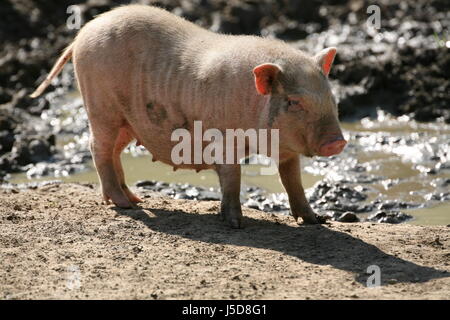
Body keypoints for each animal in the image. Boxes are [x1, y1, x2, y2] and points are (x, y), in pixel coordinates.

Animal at [31, 5, 346, 230]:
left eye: (331, 96)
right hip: (101, 107)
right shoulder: (224, 140)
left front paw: (316, 221)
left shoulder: (287, 150)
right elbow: (232, 176)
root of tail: (81, 34)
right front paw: (236, 225)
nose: (338, 143)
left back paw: (135, 198)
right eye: (294, 101)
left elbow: (293, 180)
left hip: (128, 122)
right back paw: (125, 205)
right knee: (98, 148)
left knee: (115, 152)